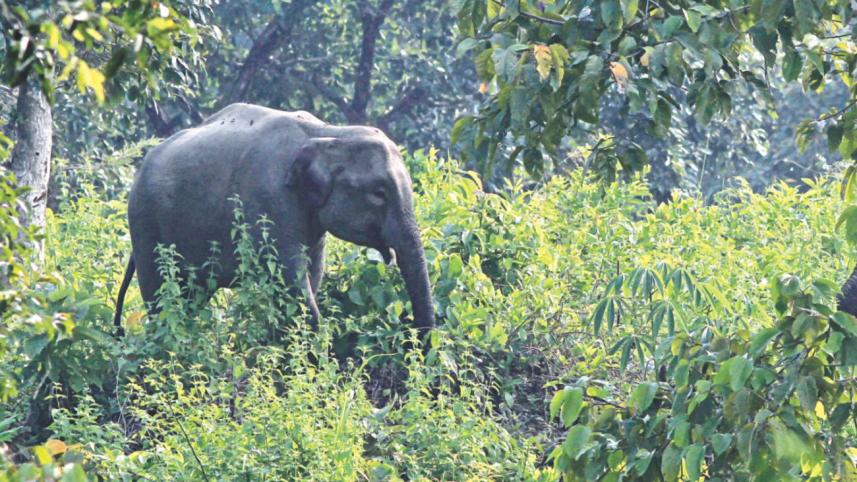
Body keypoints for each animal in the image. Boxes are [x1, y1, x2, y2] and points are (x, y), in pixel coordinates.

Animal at [113, 103, 434, 335]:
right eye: (379, 193)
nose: (415, 337)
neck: (327, 132)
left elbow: (313, 273)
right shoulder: (269, 200)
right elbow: (290, 278)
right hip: (145, 222)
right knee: (161, 293)